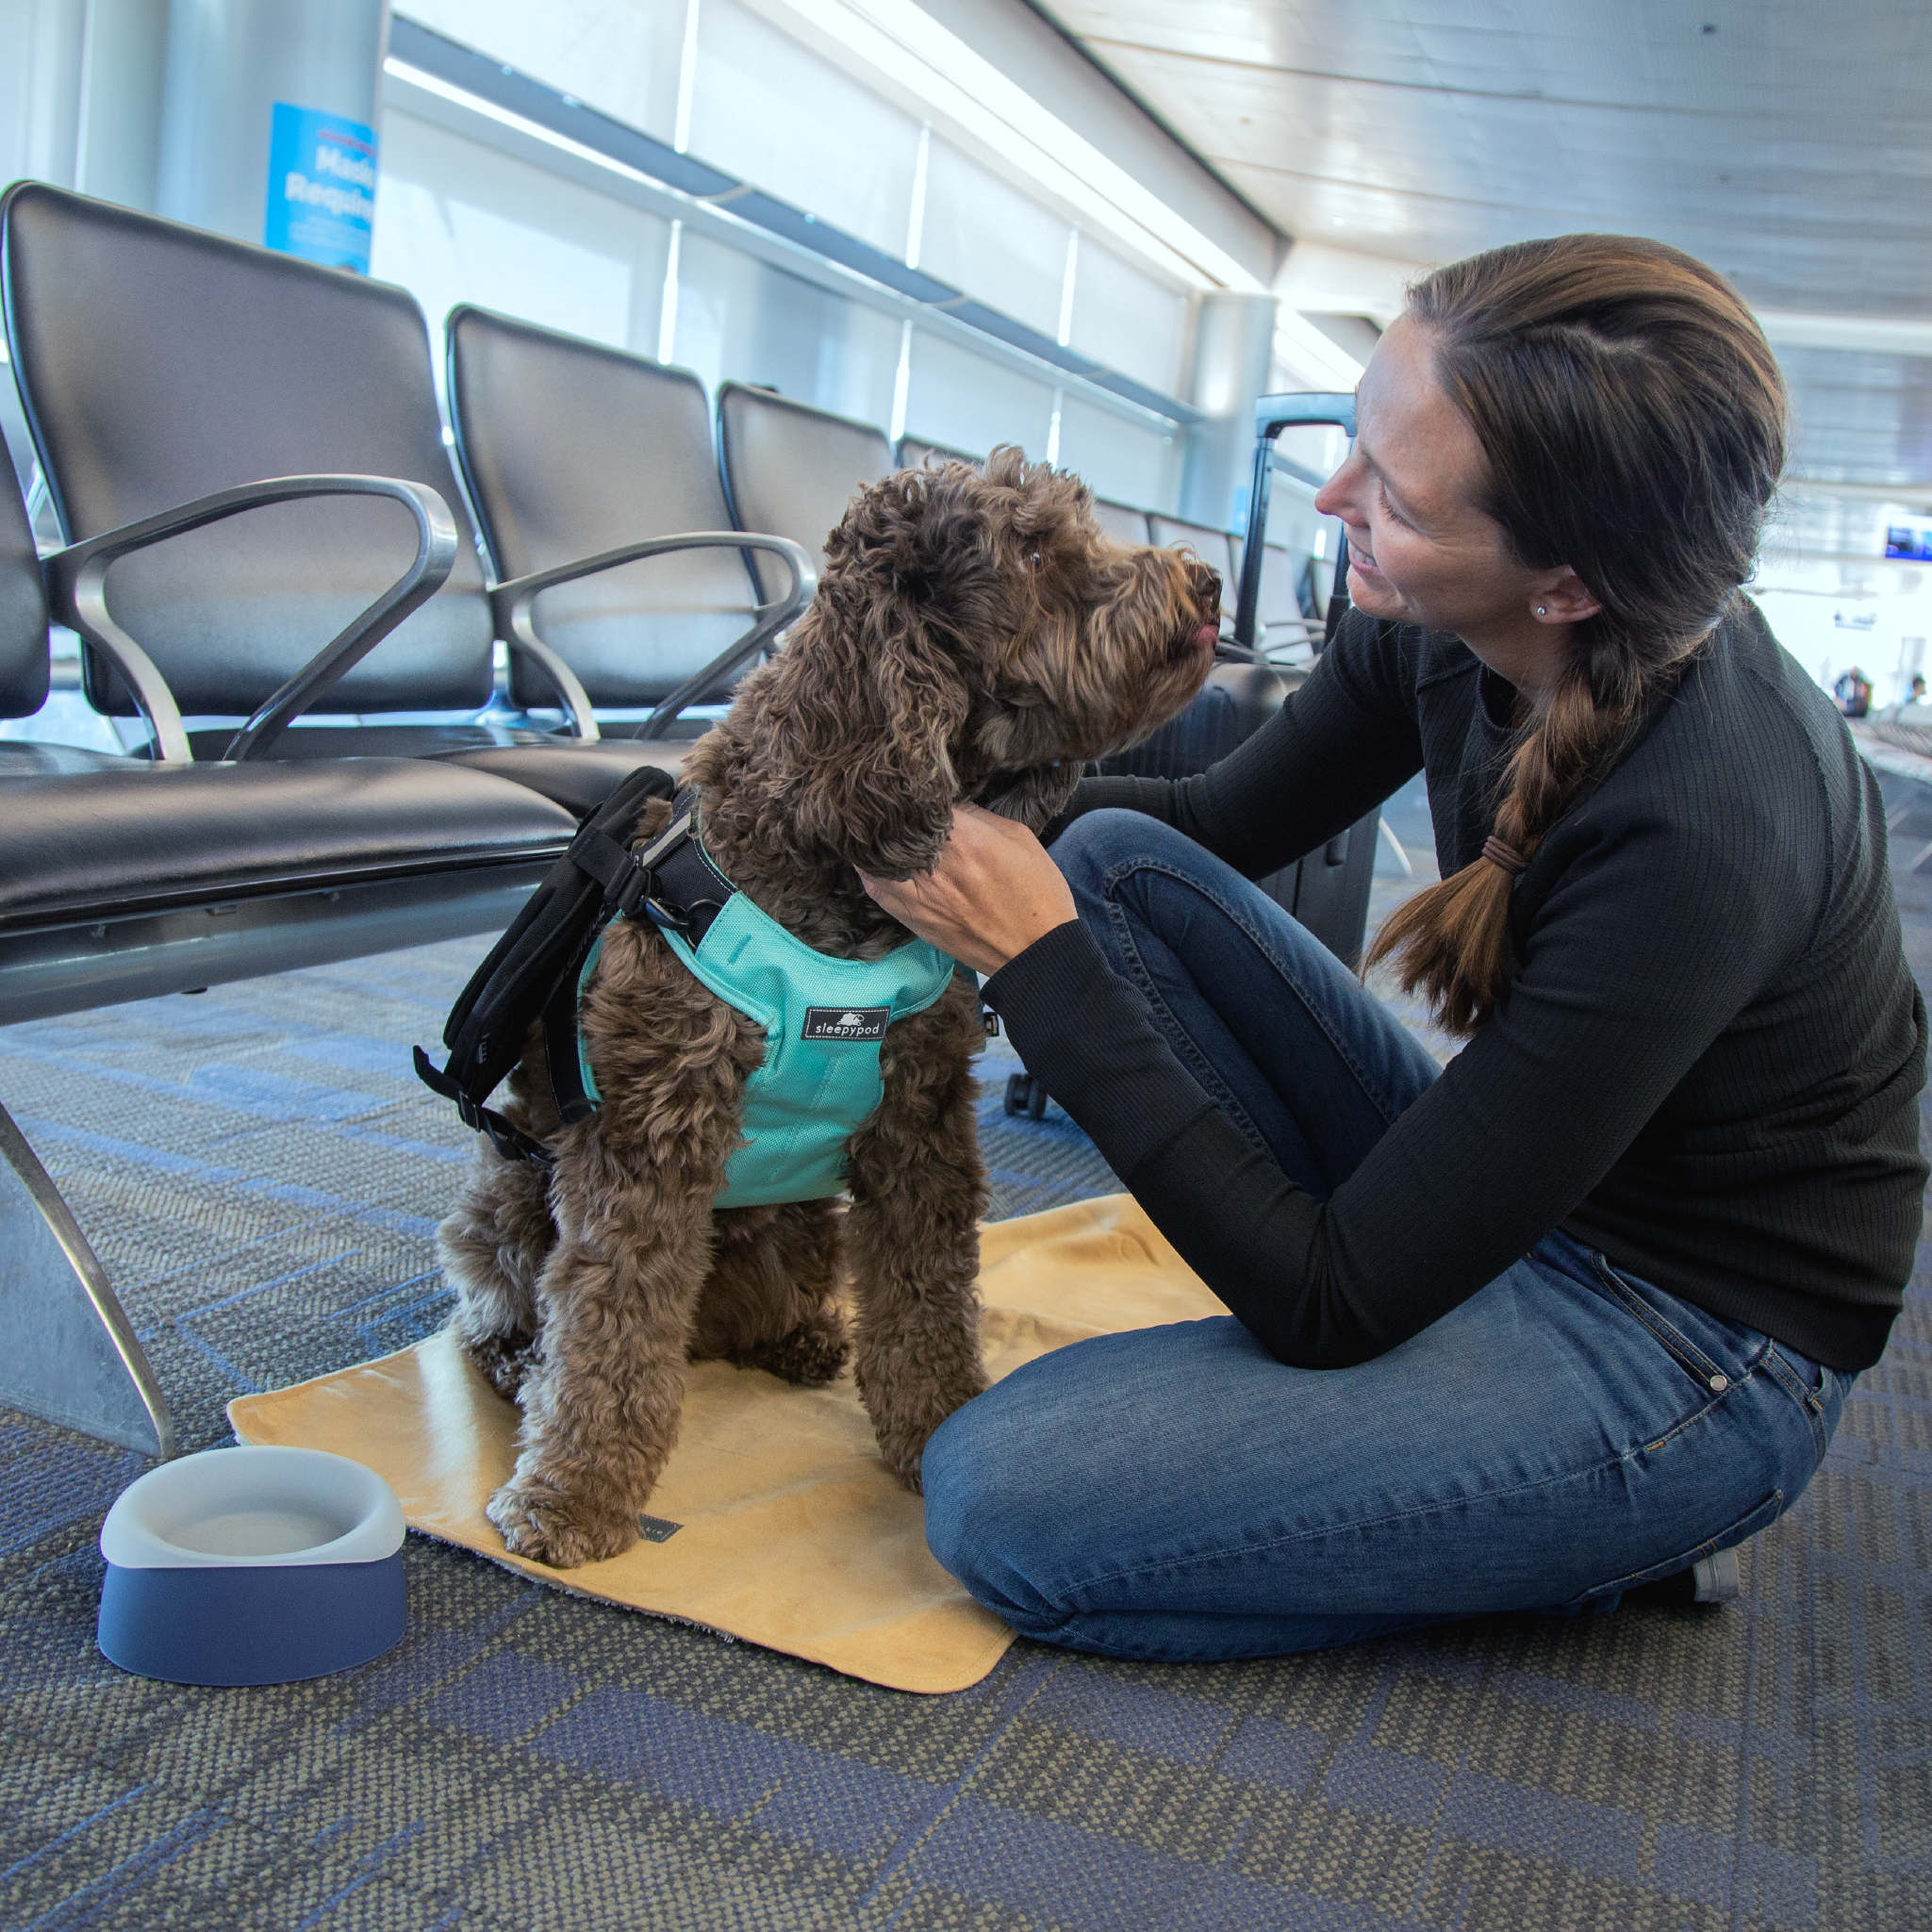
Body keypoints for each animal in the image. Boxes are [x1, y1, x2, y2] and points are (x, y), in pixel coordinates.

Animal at [440, 444, 1220, 1560]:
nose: (1207, 583)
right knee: (505, 1306)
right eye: (1032, 549)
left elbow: (924, 1301)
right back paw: (516, 1362)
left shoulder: (919, 1130)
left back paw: (799, 1337)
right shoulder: (646, 1144)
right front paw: (572, 1494)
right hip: (507, 1190)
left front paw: (939, 1431)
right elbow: (608, 1331)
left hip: (800, 1224)